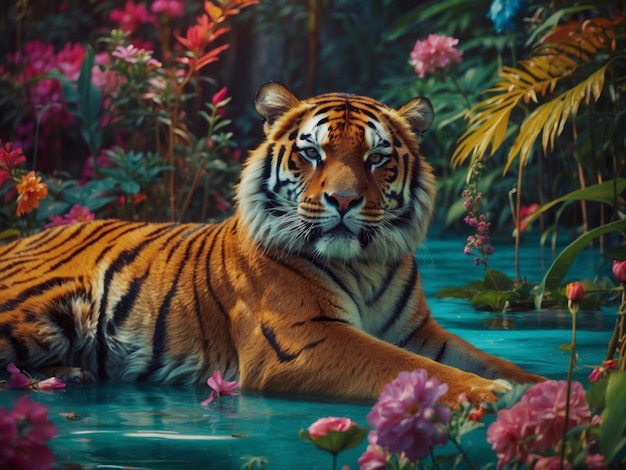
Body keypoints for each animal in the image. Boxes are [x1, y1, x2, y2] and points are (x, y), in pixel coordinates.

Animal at [0, 82, 540, 406]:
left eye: (376, 158)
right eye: (312, 153)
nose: (343, 200)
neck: (364, 264)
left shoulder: (421, 334)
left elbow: (492, 362)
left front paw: (545, 390)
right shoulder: (303, 340)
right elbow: (412, 368)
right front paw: (489, 393)